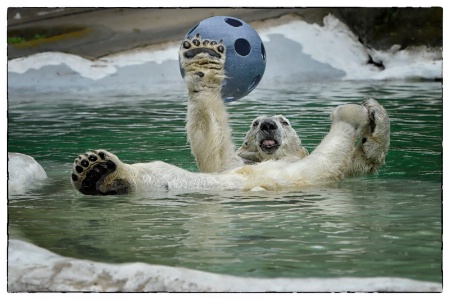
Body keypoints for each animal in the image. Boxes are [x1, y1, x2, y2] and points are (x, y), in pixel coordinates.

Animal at [70, 35, 390, 196]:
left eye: (284, 121)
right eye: (255, 122)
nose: (268, 125)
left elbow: (344, 166)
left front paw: (373, 116)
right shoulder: (236, 164)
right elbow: (215, 150)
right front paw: (202, 61)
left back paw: (97, 172)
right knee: (161, 172)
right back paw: (99, 170)